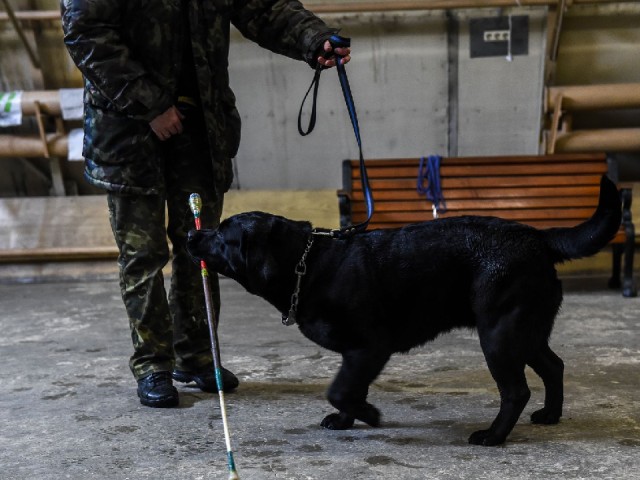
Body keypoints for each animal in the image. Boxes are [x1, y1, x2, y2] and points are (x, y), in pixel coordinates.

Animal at [188, 176, 624, 446]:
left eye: (221, 234)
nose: (191, 234)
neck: (306, 264)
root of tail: (537, 236)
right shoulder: (357, 354)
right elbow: (350, 388)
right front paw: (348, 419)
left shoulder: (369, 347)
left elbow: (339, 389)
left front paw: (368, 414)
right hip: (525, 330)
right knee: (554, 366)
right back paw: (550, 415)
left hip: (500, 334)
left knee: (516, 390)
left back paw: (493, 436)